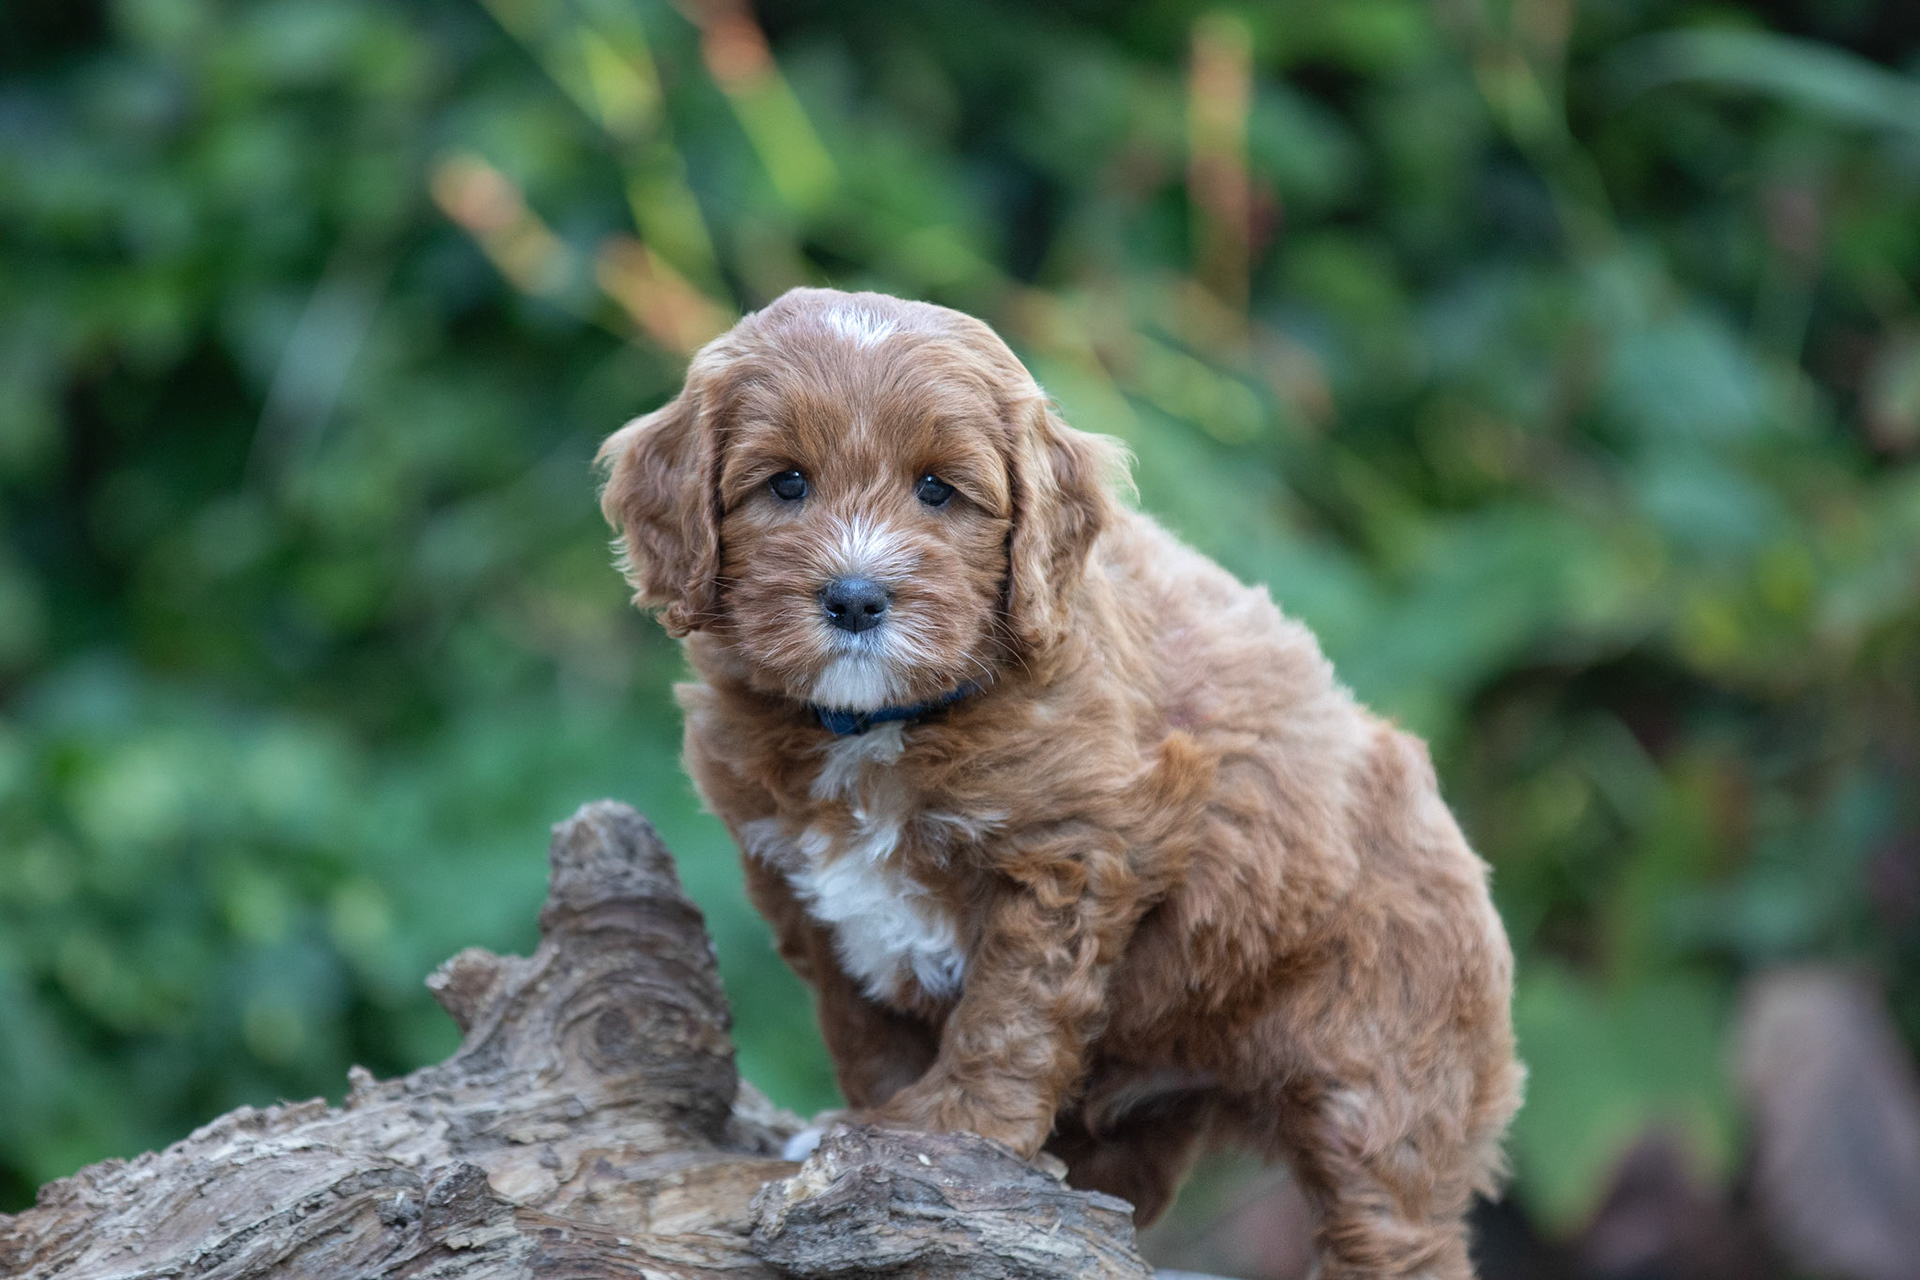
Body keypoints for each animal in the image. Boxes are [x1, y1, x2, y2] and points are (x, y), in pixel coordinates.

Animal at [599, 287, 1521, 1278]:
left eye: (937, 489)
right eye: (786, 484)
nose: (854, 598)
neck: (881, 725)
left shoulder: (1069, 857)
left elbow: (1011, 1011)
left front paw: (949, 1135)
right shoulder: (807, 896)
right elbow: (868, 1031)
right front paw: (869, 1131)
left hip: (1387, 1069)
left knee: (1389, 1222)